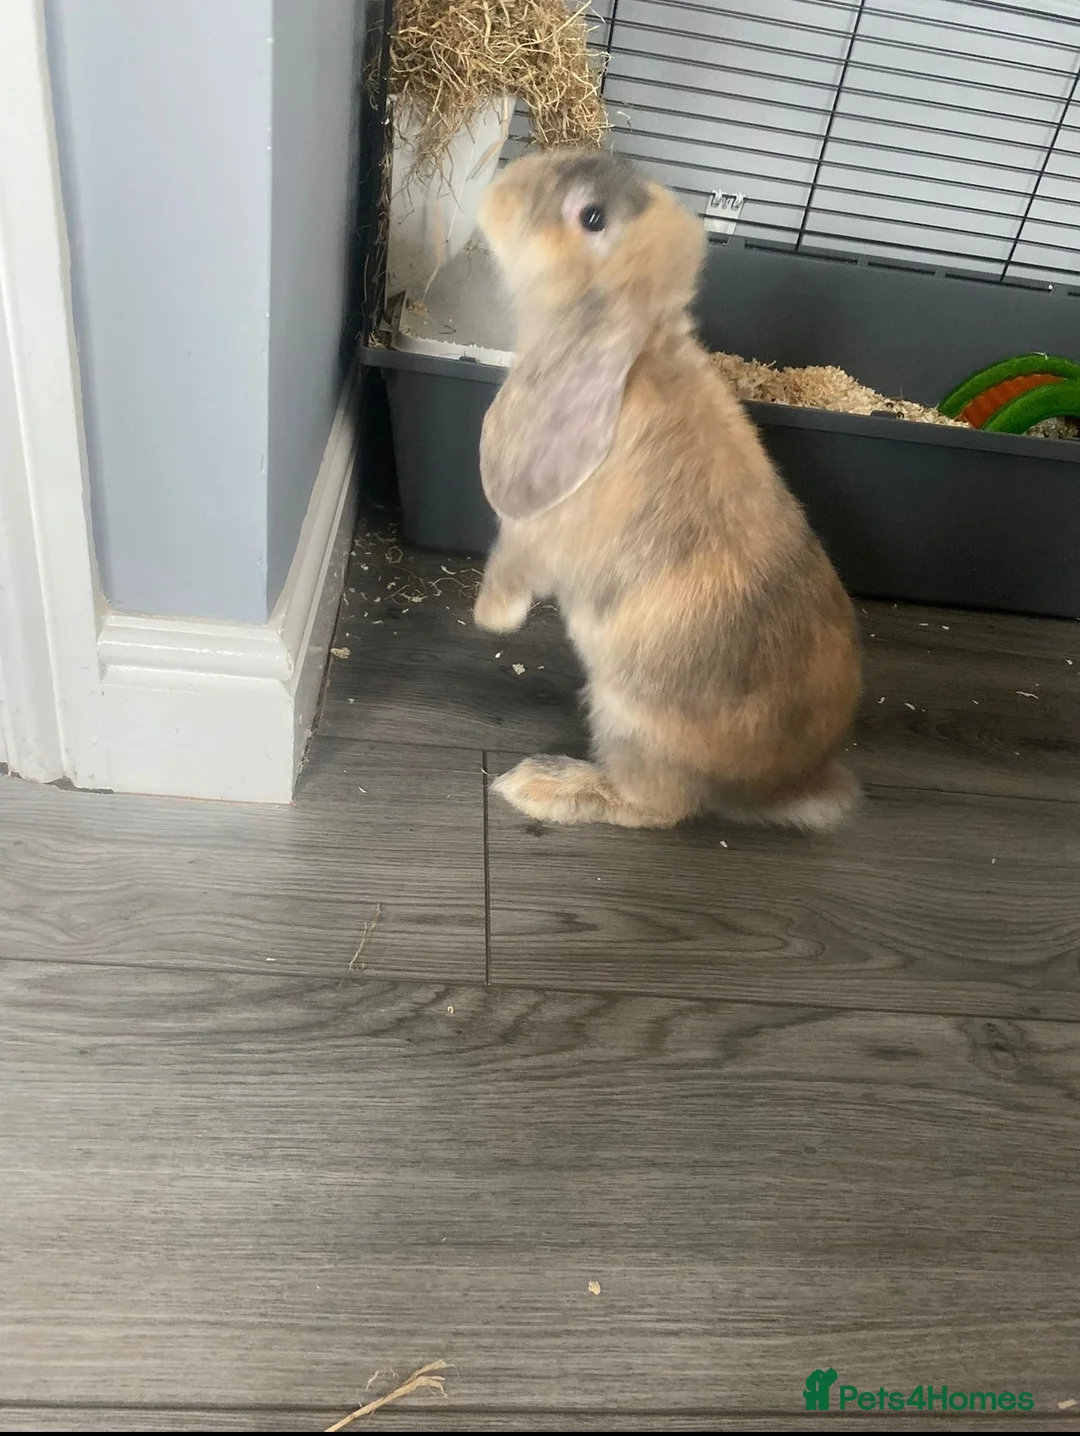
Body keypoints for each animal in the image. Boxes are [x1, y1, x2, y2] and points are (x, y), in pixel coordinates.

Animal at [473, 149, 862, 831]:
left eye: (591, 217)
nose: (499, 191)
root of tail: (778, 787)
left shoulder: (536, 530)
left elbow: (513, 560)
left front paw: (490, 619)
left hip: (628, 721)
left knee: (657, 808)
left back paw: (540, 785)